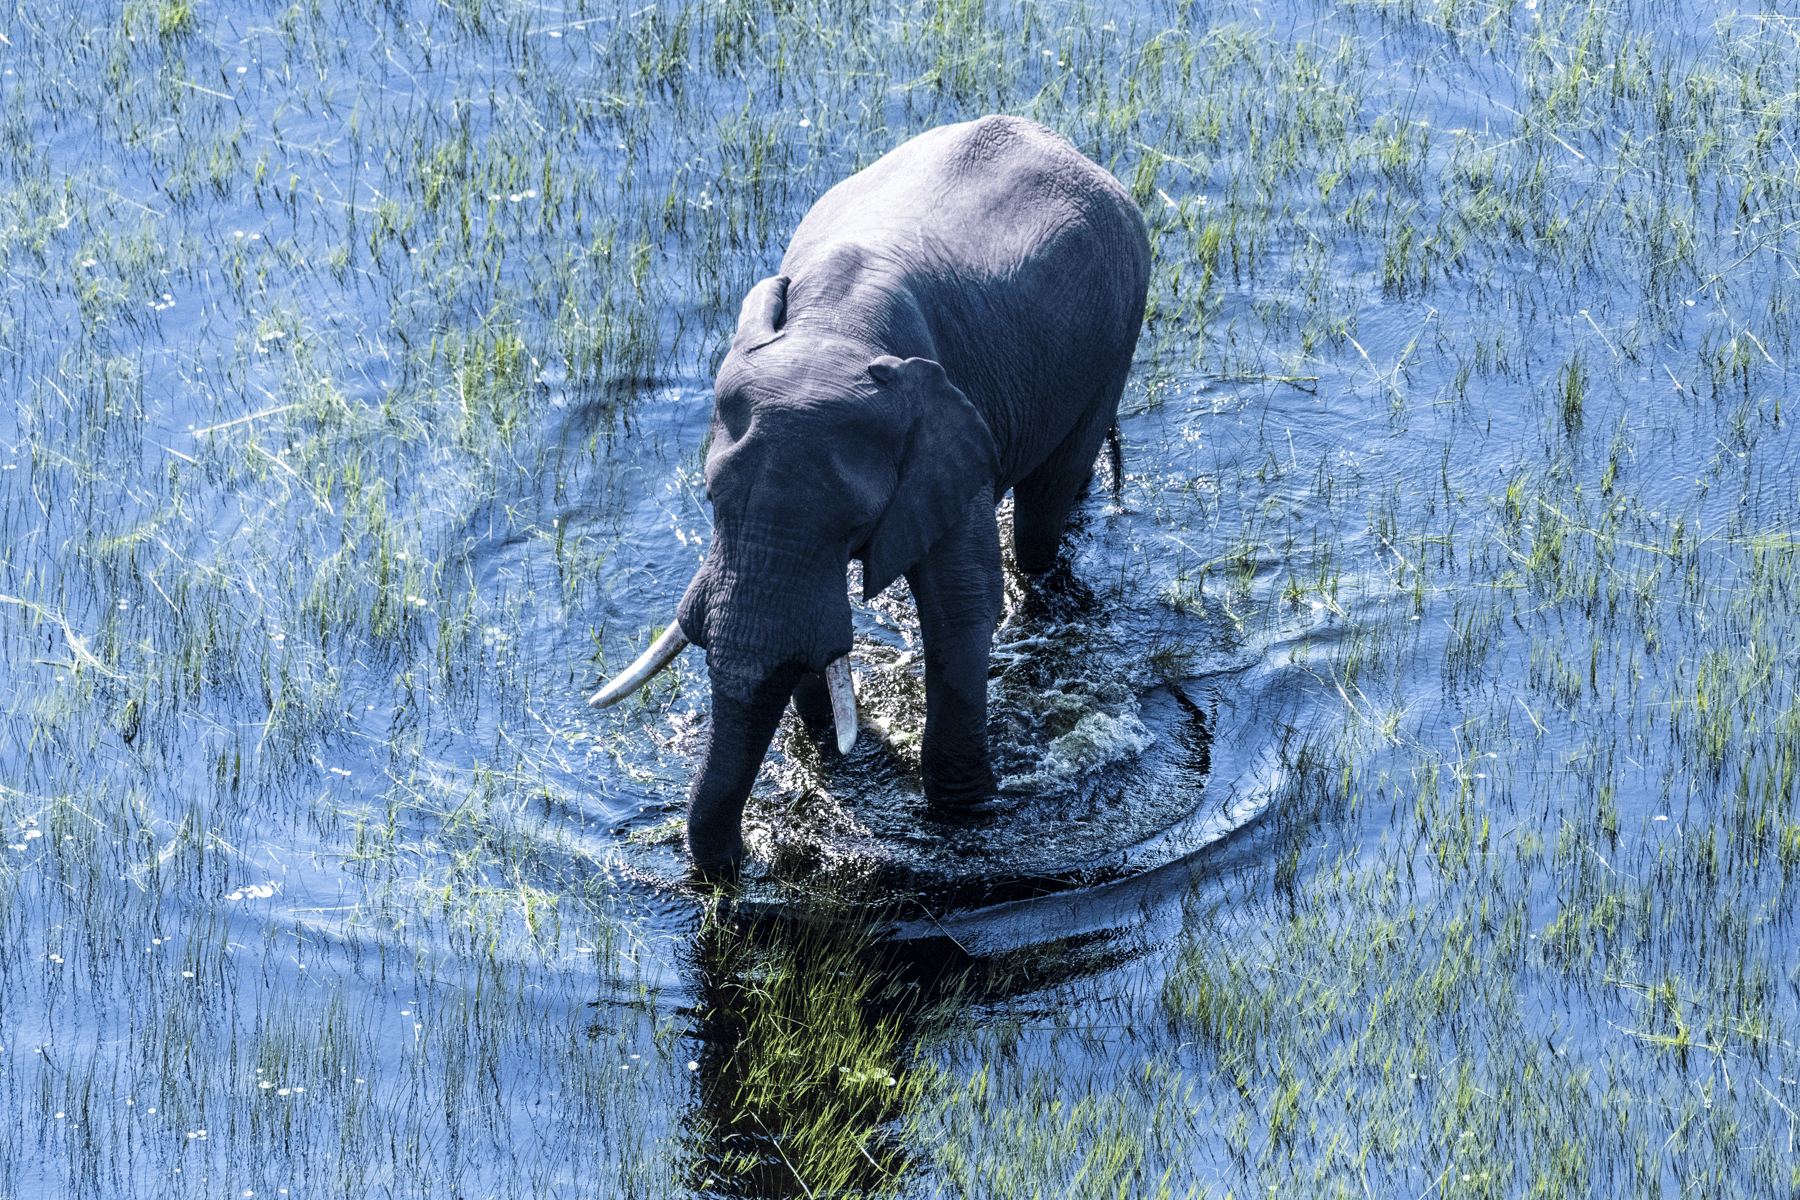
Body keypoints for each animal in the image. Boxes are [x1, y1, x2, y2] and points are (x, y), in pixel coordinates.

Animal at [591, 115, 1151, 872]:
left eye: (853, 518)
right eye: (710, 500)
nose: (746, 867)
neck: (835, 325)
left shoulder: (949, 437)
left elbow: (960, 601)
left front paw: (962, 815)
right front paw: (833, 757)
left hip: (1118, 325)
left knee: (1041, 518)